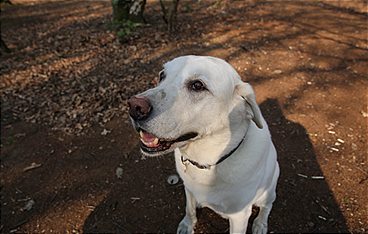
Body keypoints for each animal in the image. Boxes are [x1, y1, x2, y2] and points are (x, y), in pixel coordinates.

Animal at [128, 55, 280, 233]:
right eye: (162, 75)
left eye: (197, 85)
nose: (134, 106)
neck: (207, 162)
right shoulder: (188, 189)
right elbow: (189, 208)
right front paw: (187, 224)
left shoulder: (240, 216)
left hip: (269, 188)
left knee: (267, 206)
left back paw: (260, 224)